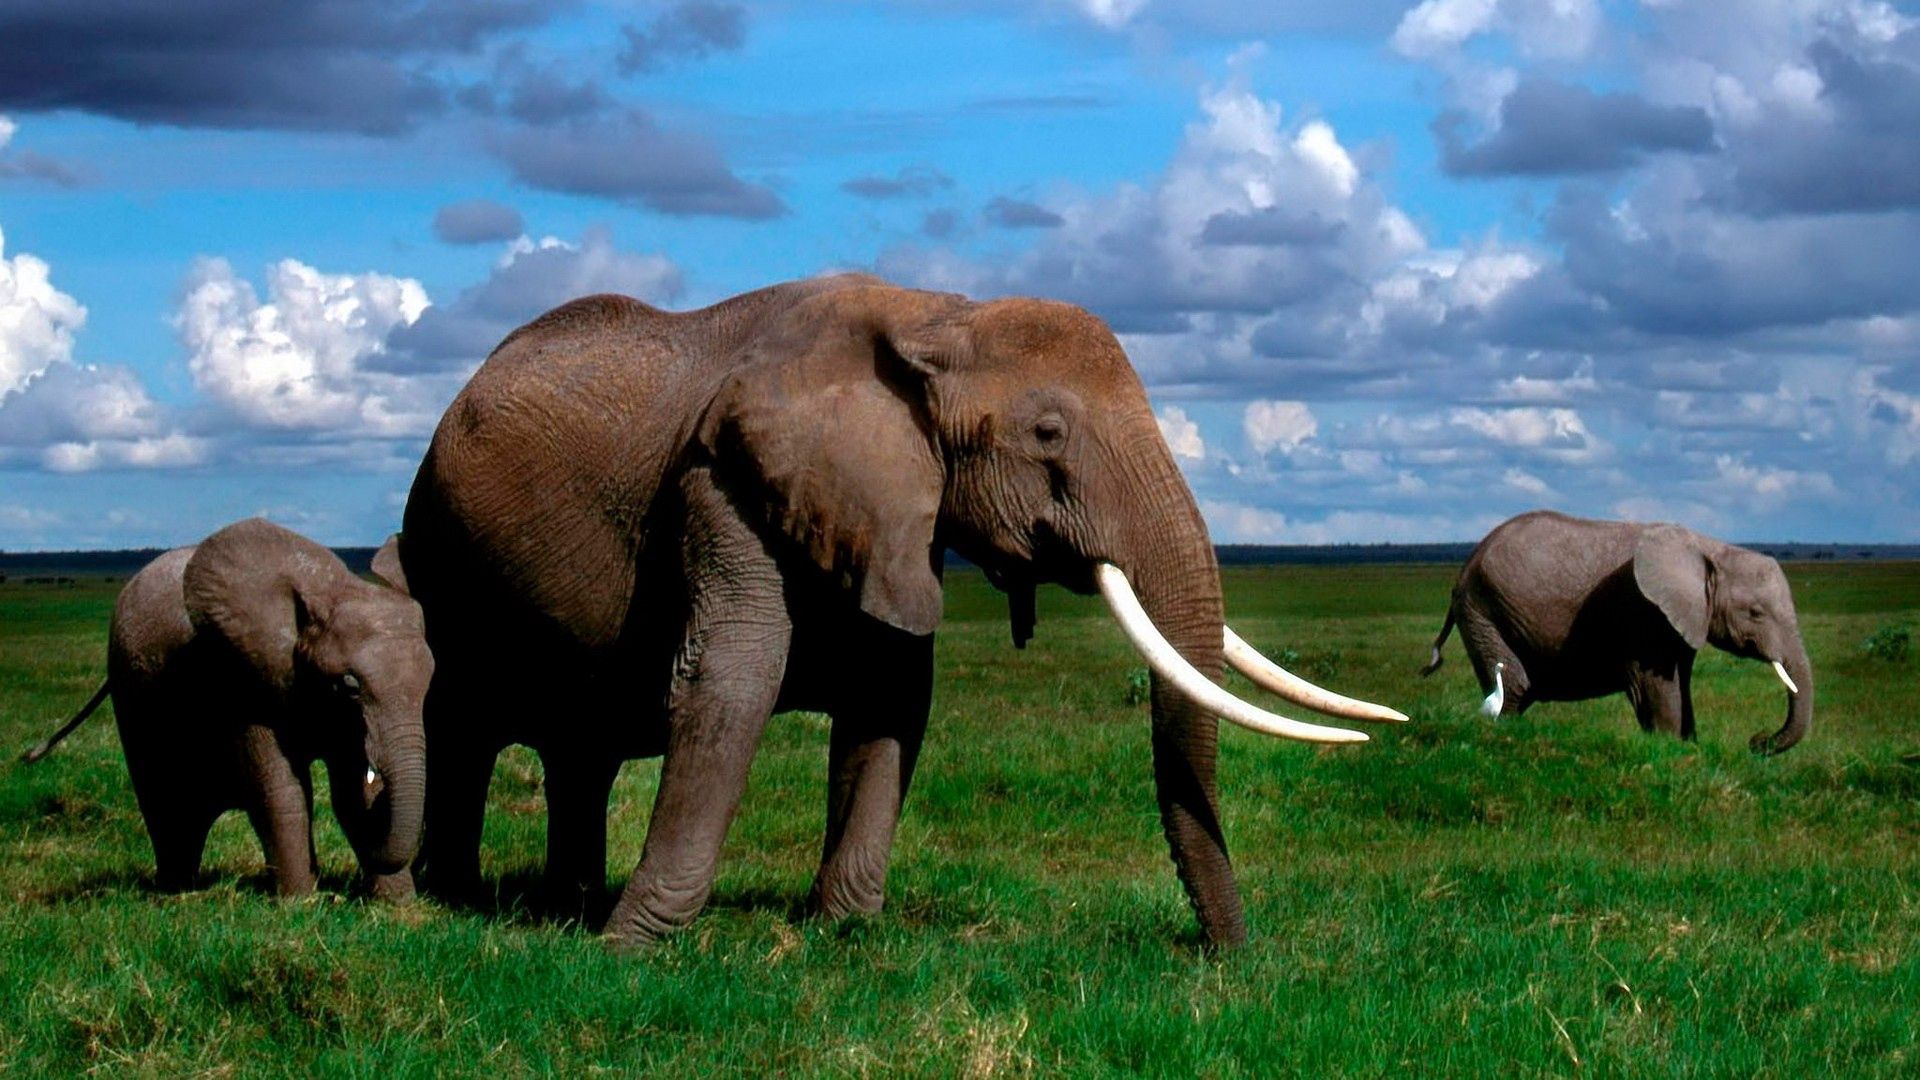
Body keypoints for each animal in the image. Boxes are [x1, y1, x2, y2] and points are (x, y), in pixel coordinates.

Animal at [22, 518, 430, 895]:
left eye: (429, 682)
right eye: (349, 685)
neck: (330, 591)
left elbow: (353, 793)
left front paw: (398, 906)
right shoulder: (242, 678)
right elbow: (281, 789)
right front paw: (299, 902)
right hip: (132, 692)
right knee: (167, 805)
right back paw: (176, 890)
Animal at [397, 272, 1405, 945]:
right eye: (1047, 434)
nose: (1225, 954)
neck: (935, 320)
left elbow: (891, 698)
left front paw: (843, 932)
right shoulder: (727, 480)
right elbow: (728, 683)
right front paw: (633, 948)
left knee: (581, 749)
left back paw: (562, 902)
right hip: (437, 552)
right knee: (465, 721)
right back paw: (453, 899)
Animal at [1428, 507, 1812, 753]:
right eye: (1756, 613)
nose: (1756, 741)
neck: (1710, 547)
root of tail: (1466, 566)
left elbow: (1681, 684)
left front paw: (1689, 746)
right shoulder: (1642, 611)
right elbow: (1658, 688)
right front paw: (1670, 750)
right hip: (1482, 608)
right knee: (1514, 685)